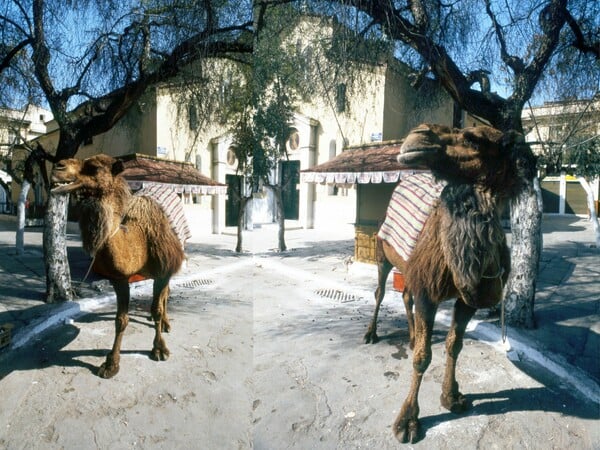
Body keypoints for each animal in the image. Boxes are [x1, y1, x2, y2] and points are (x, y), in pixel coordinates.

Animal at [50, 153, 184, 378]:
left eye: (94, 168)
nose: (57, 167)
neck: (140, 239)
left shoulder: (163, 271)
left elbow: (158, 307)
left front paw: (159, 349)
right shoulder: (119, 279)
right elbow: (120, 320)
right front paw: (111, 364)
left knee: (164, 296)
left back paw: (165, 323)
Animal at [364, 124, 536, 442]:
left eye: (473, 139)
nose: (417, 136)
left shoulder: (468, 300)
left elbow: (454, 345)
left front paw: (452, 397)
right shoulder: (429, 293)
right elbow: (422, 358)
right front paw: (408, 422)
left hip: (410, 268)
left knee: (405, 295)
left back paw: (411, 336)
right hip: (383, 254)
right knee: (380, 292)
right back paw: (371, 334)